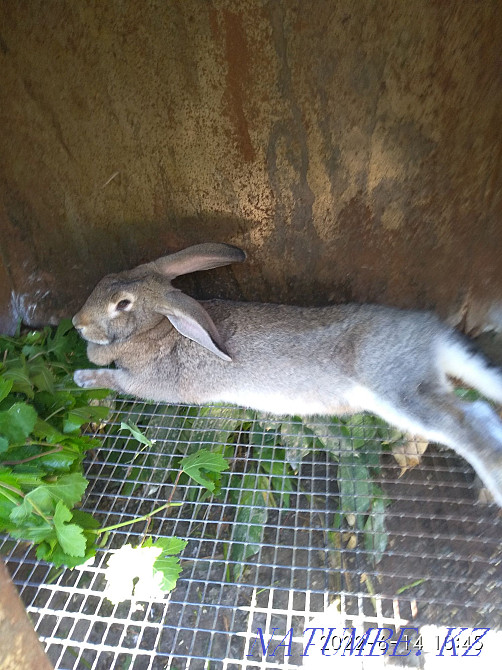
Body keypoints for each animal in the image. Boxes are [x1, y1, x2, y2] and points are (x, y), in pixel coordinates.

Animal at [73, 242, 502, 506]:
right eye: (107, 278)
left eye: (122, 304)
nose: (77, 322)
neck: (159, 327)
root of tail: (432, 336)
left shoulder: (148, 383)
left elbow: (118, 380)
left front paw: (82, 377)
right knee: (481, 412)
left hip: (398, 390)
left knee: (467, 426)